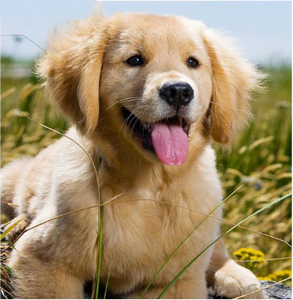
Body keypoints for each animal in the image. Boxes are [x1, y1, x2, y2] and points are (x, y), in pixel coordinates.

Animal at [0, 11, 264, 300]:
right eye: (135, 60)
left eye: (193, 62)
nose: (179, 91)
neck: (146, 185)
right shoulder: (42, 261)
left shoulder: (178, 282)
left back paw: (237, 278)